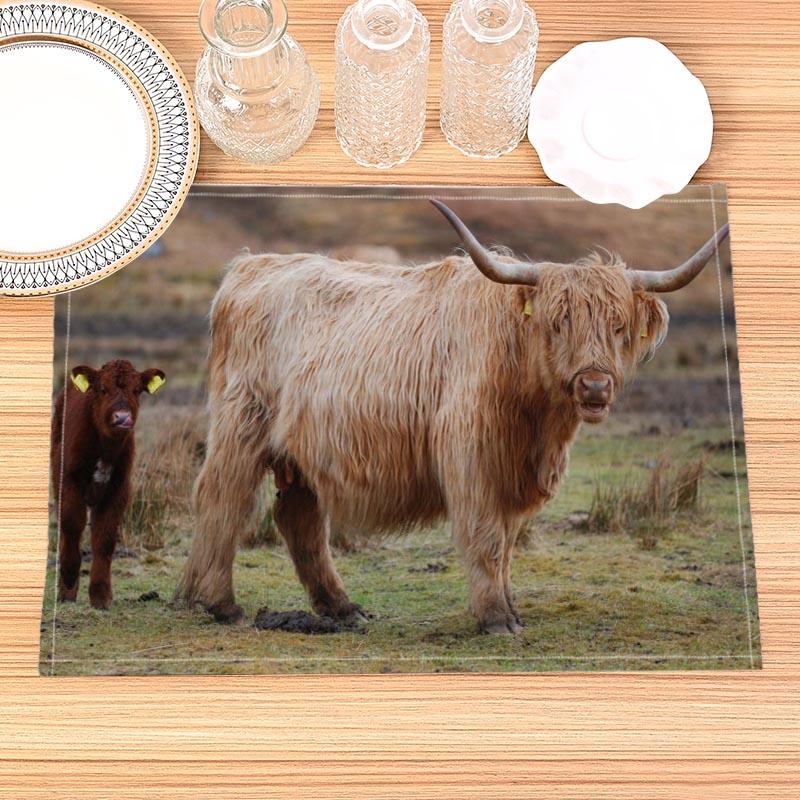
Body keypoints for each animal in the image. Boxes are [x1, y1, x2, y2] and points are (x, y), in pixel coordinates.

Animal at [51, 359, 165, 609]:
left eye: (137, 390)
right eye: (103, 389)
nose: (122, 418)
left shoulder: (119, 488)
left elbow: (105, 537)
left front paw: (101, 595)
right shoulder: (69, 480)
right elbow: (72, 524)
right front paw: (69, 576)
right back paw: (65, 592)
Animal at [175, 202, 729, 634]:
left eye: (618, 325)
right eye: (558, 321)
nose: (594, 386)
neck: (537, 422)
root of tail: (252, 266)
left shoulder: (512, 471)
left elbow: (507, 543)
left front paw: (511, 609)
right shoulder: (471, 457)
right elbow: (486, 538)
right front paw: (496, 619)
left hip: (302, 449)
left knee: (299, 519)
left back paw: (339, 607)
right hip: (241, 424)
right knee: (222, 497)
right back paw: (219, 603)